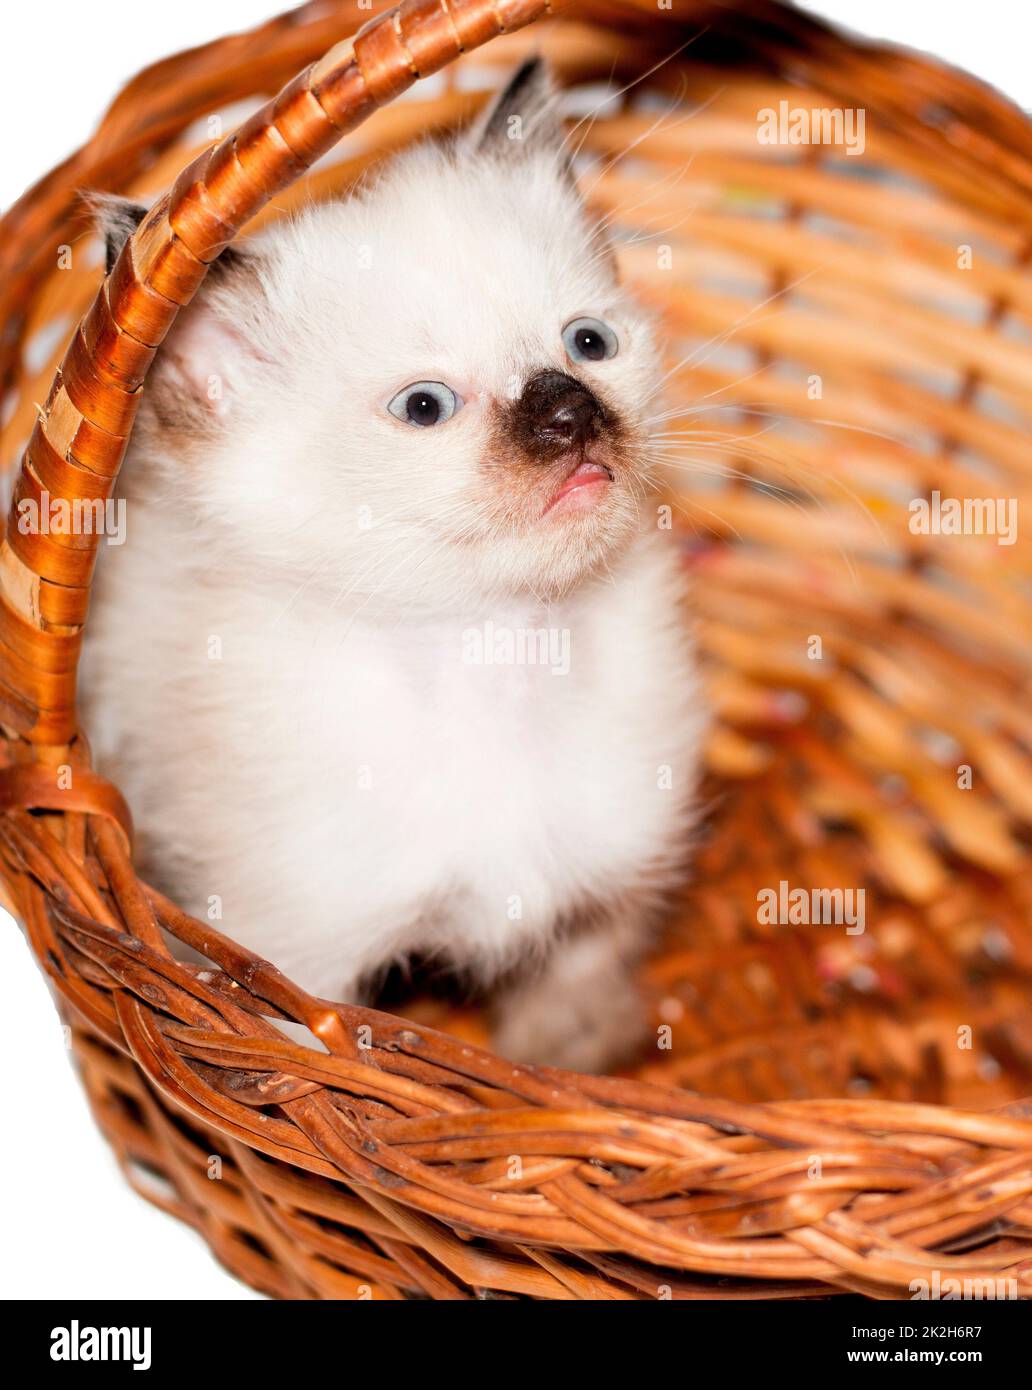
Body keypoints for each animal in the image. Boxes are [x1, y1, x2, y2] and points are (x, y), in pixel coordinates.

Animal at [84, 59, 706, 1067]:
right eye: (424, 407)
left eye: (588, 344)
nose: (569, 413)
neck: (500, 653)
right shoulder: (295, 968)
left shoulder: (605, 891)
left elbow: (570, 1001)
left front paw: (572, 1063)